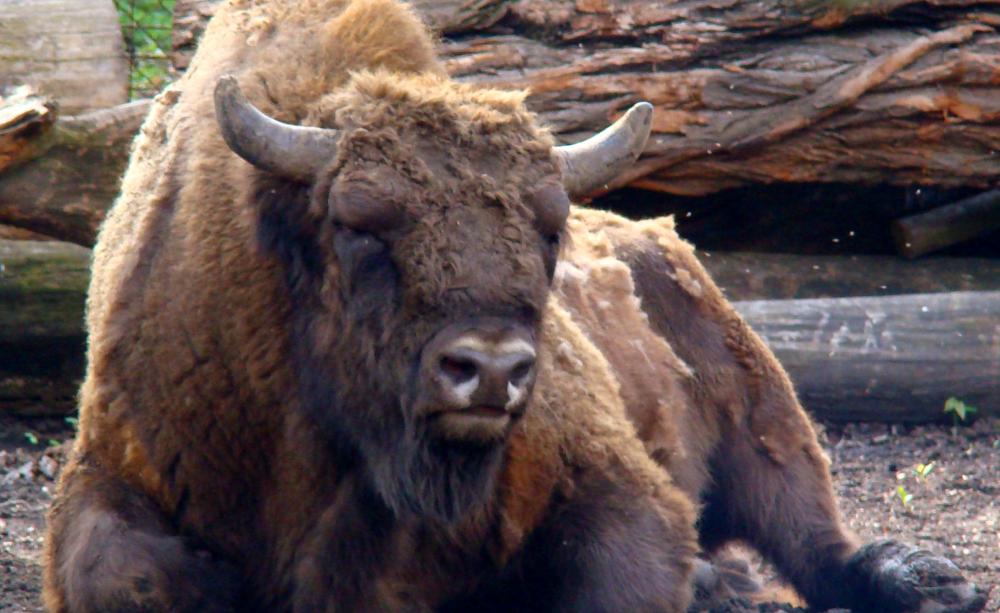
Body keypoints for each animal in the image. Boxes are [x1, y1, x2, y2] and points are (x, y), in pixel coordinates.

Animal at [44, 0, 987, 611]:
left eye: (550, 225)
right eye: (357, 224)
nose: (490, 369)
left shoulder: (605, 478)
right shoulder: (112, 463)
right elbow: (126, 574)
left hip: (767, 418)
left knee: (819, 545)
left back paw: (928, 584)